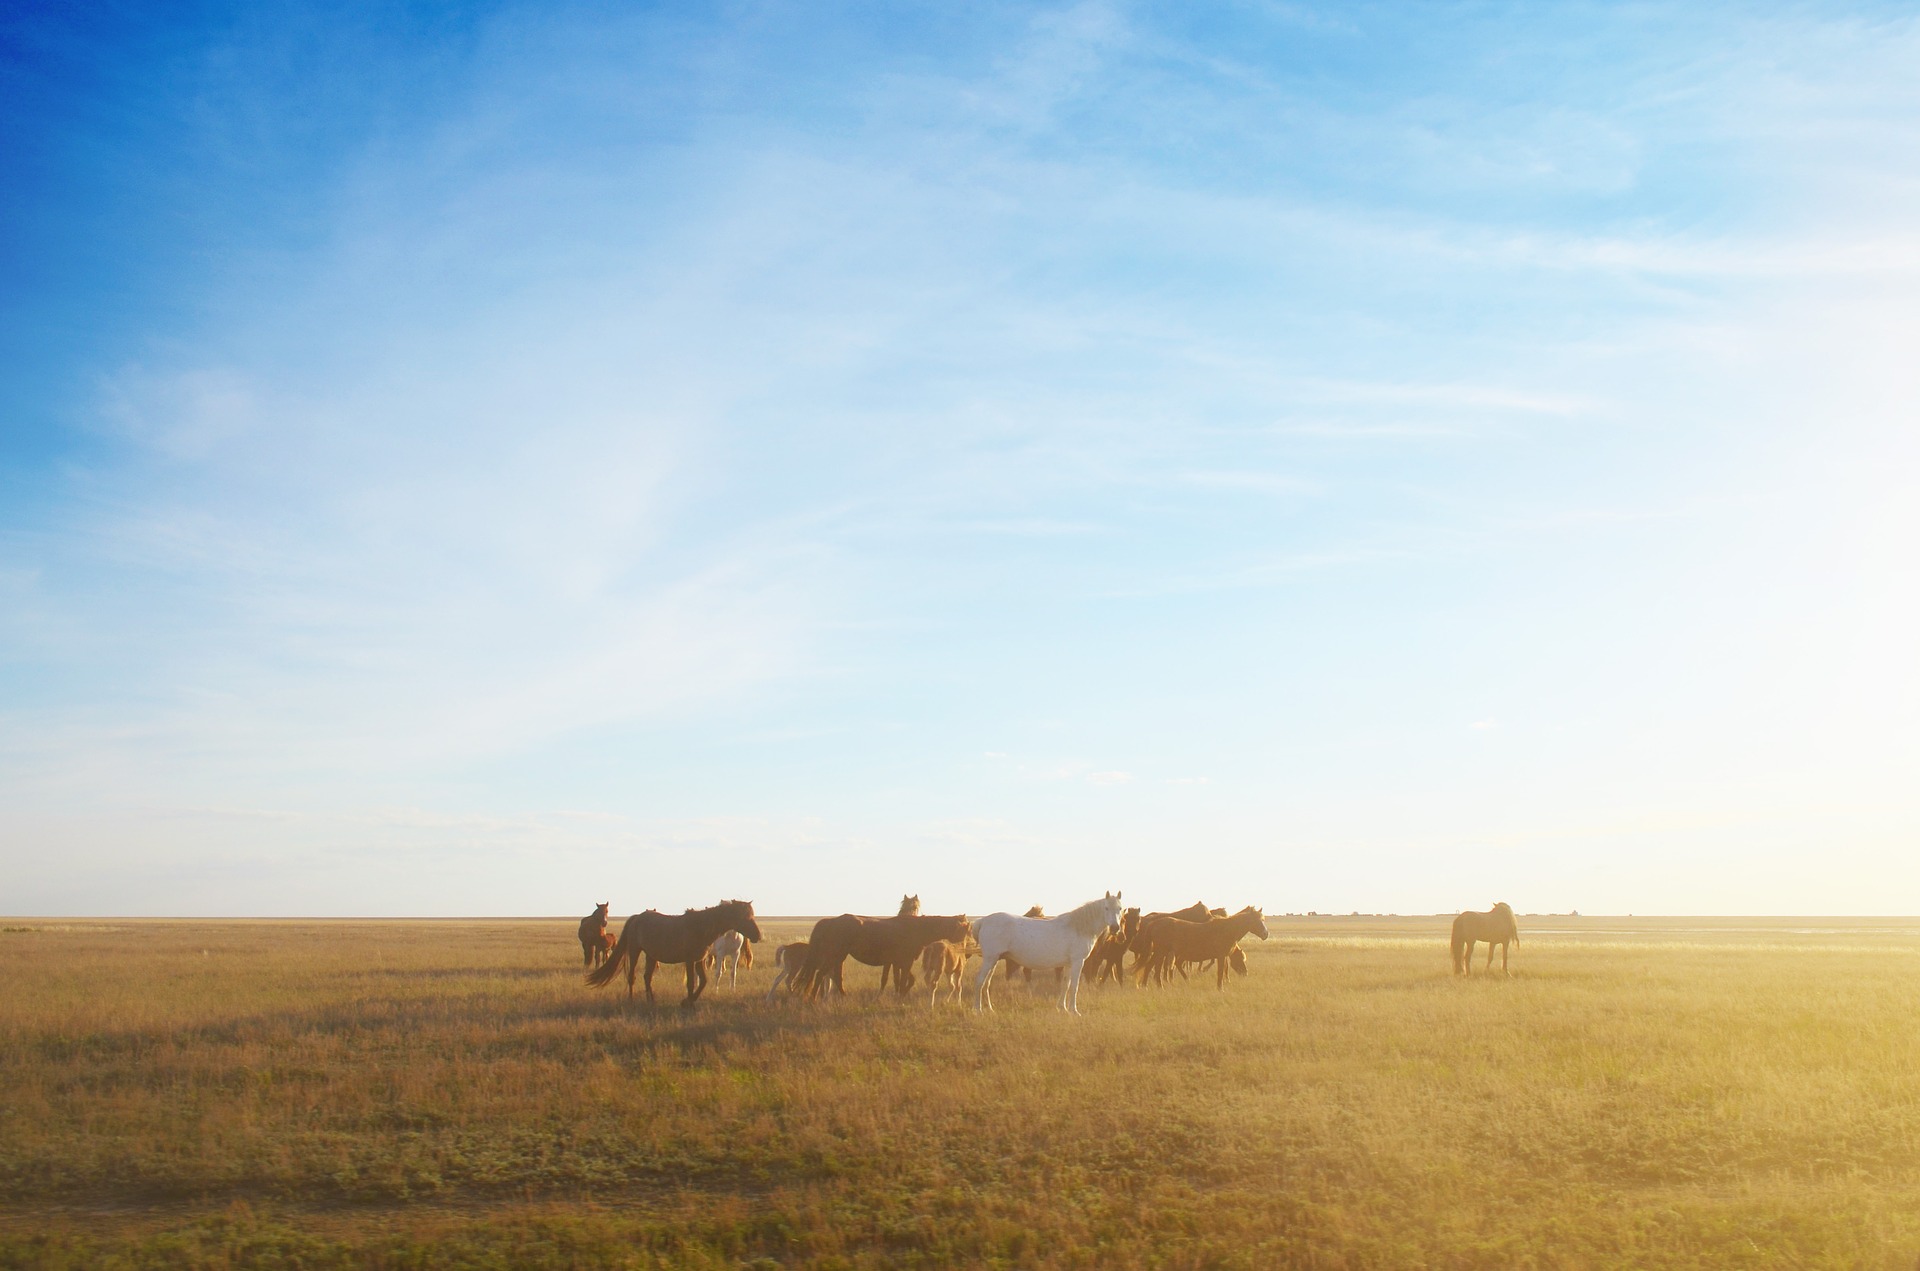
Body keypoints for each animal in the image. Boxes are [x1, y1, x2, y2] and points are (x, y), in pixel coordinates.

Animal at [583, 902, 764, 1013]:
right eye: (745, 917)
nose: (758, 935)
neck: (701, 927)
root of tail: (636, 917)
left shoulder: (699, 960)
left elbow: (703, 982)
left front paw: (689, 1002)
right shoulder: (690, 960)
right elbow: (691, 983)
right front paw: (688, 1004)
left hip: (651, 955)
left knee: (647, 977)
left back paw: (651, 1000)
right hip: (635, 951)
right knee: (632, 976)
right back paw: (631, 1001)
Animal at [798, 917, 975, 1006]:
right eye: (966, 932)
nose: (966, 955)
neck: (915, 928)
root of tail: (829, 921)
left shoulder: (899, 962)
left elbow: (906, 980)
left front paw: (900, 996)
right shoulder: (905, 962)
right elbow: (903, 981)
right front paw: (900, 998)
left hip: (837, 957)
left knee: (832, 977)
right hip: (835, 955)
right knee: (821, 975)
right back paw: (813, 999)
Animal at [975, 890, 1121, 1021]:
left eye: (1120, 908)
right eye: (1106, 908)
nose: (1115, 928)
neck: (1079, 927)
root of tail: (983, 920)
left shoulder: (1069, 964)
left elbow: (1065, 984)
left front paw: (1062, 1008)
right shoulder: (1078, 961)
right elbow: (1074, 986)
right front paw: (1074, 1011)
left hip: (994, 960)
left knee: (986, 983)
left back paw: (990, 1009)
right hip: (989, 959)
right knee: (979, 981)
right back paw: (978, 1010)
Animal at [1128, 906, 1267, 998]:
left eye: (1263, 919)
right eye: (1256, 920)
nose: (1266, 934)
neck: (1226, 930)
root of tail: (1153, 923)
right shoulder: (1221, 956)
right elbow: (1220, 972)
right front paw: (1220, 989)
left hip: (1159, 952)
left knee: (1151, 967)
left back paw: (1149, 986)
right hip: (1160, 952)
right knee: (1153, 967)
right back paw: (1156, 986)